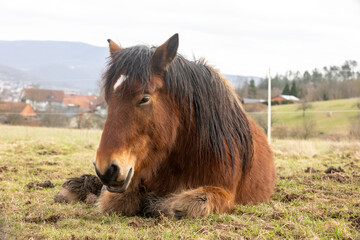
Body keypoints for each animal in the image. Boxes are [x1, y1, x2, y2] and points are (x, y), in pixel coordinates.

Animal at [55, 33, 276, 219]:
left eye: (144, 98)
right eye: (108, 99)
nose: (106, 169)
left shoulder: (225, 194)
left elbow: (185, 205)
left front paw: (154, 203)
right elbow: (116, 201)